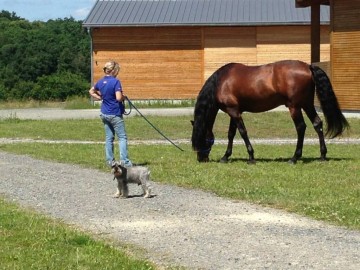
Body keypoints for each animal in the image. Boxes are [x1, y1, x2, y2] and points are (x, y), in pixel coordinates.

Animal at [191, 60, 348, 163]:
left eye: (199, 138)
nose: (201, 158)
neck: (221, 82)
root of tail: (308, 67)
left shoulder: (234, 111)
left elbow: (242, 132)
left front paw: (251, 157)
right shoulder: (234, 112)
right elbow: (231, 134)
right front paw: (226, 156)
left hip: (295, 107)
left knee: (301, 127)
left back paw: (294, 158)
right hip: (307, 104)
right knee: (317, 124)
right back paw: (322, 155)